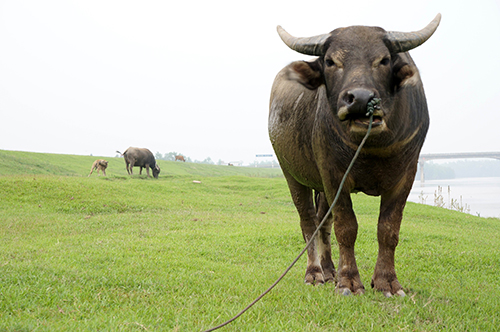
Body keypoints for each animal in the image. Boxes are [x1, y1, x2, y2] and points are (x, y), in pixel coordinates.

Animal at [270, 14, 442, 296]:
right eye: (331, 61)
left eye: (384, 60)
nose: (360, 99)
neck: (371, 146)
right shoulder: (333, 175)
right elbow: (347, 227)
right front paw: (349, 282)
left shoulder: (406, 175)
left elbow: (388, 229)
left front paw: (387, 282)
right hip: (292, 175)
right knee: (308, 222)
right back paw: (315, 273)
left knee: (323, 223)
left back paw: (330, 270)